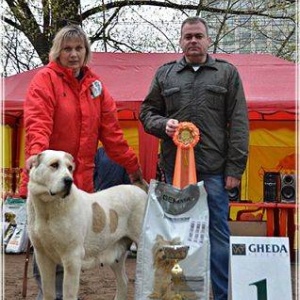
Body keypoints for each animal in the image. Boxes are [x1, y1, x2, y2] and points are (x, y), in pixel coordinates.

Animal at [26, 150, 148, 300]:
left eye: (70, 168)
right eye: (54, 165)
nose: (69, 181)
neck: (48, 209)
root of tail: (138, 189)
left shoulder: (72, 257)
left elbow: (69, 293)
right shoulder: (42, 257)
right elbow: (48, 291)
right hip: (116, 254)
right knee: (123, 281)